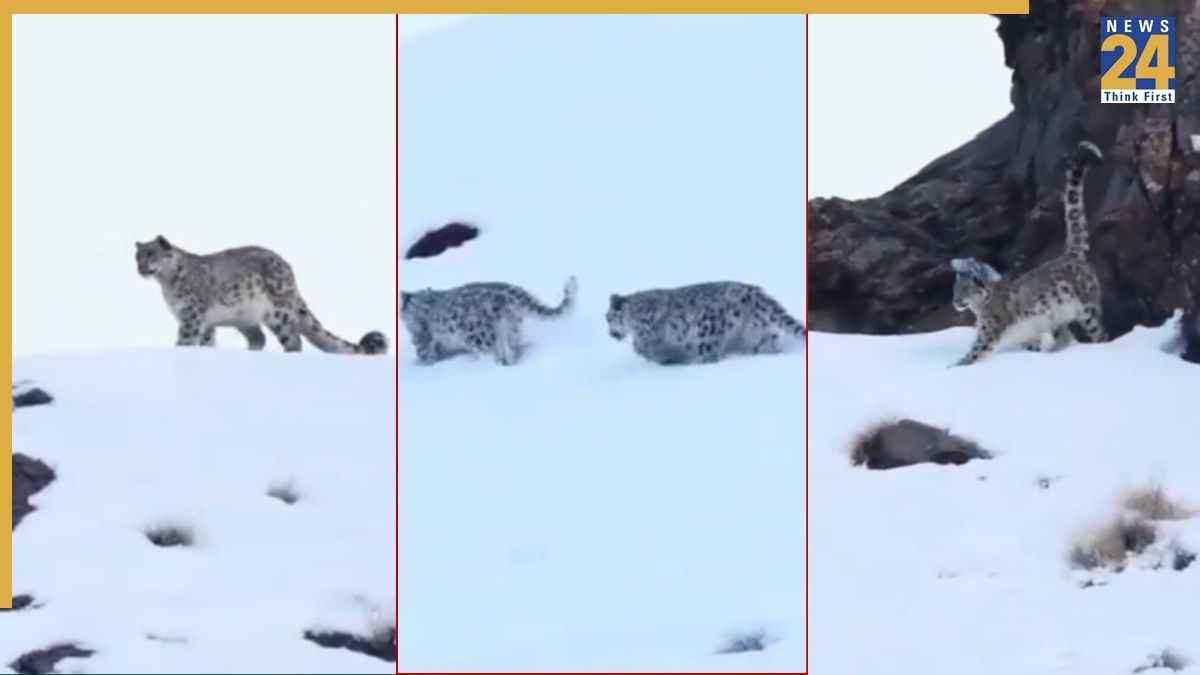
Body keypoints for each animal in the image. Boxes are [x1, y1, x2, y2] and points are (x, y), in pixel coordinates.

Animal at [135, 235, 388, 355]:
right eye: (137, 256)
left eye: (152, 254)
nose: (140, 268)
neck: (167, 284)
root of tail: (288, 269)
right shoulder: (205, 322)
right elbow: (207, 341)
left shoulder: (191, 316)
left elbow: (185, 340)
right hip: (245, 319)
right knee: (259, 338)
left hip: (278, 313)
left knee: (293, 338)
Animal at [400, 276, 577, 366]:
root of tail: (506, 291)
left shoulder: (421, 337)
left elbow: (424, 352)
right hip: (509, 329)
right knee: (509, 353)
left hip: (479, 337)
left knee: (493, 355)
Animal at [606, 281, 806, 365]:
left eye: (607, 318)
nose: (610, 334)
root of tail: (750, 291)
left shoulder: (647, 334)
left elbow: (640, 346)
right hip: (757, 332)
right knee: (768, 344)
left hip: (706, 334)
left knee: (709, 354)